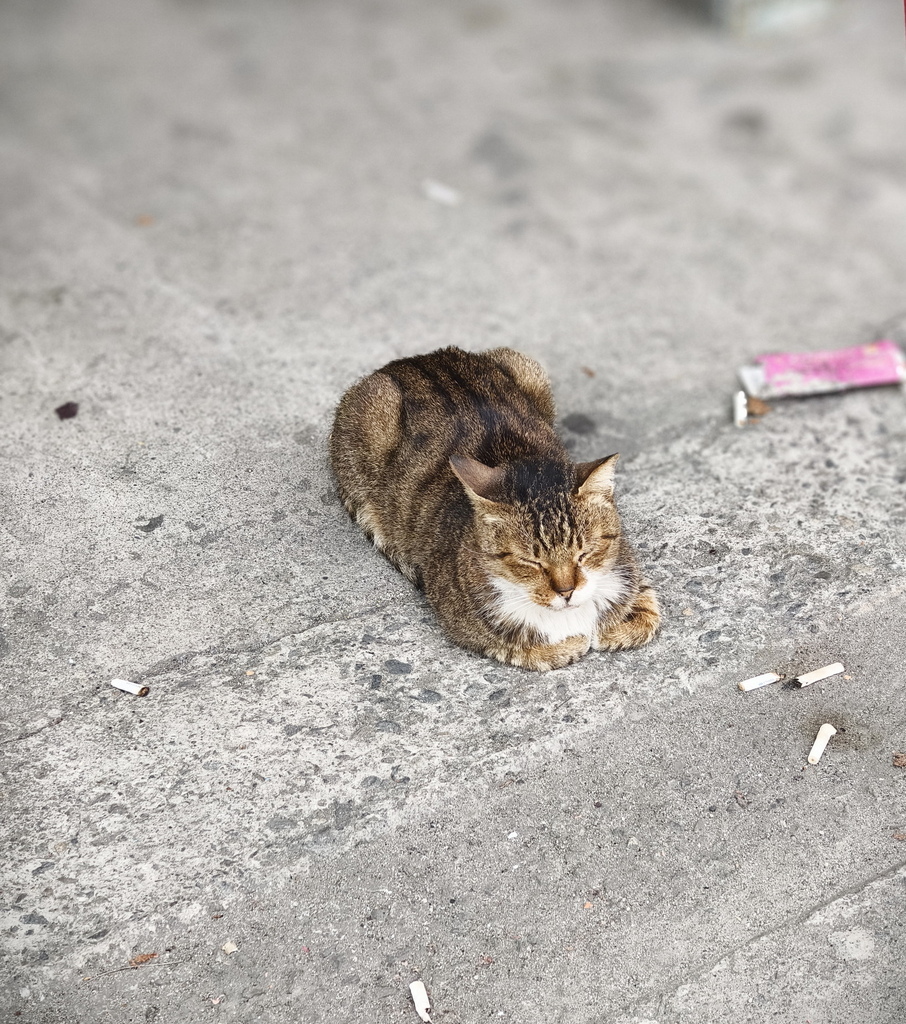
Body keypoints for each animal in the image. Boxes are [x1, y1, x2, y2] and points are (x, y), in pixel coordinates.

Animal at [329, 346, 659, 671]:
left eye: (585, 553)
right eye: (530, 562)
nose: (566, 592)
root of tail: (415, 359)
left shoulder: (630, 573)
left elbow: (645, 615)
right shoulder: (465, 620)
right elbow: (530, 649)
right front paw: (571, 642)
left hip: (526, 366)